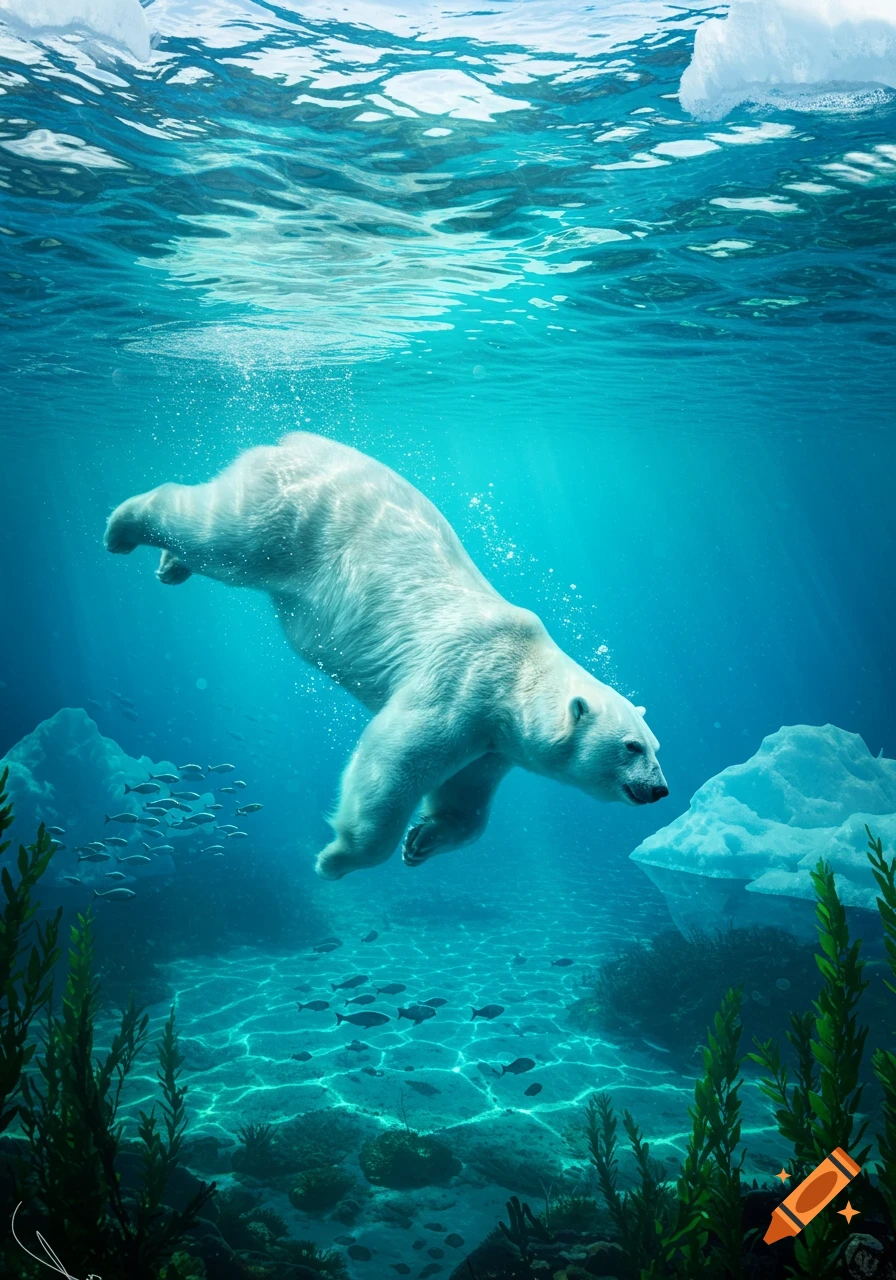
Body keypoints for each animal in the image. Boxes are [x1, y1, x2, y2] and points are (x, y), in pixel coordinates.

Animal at [104, 432, 668, 879]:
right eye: (632, 746)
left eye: (657, 745)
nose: (660, 790)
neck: (520, 672)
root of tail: (289, 441)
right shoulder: (464, 681)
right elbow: (392, 761)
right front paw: (337, 859)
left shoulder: (494, 746)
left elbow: (466, 802)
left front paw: (421, 842)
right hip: (290, 519)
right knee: (220, 535)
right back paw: (123, 526)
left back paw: (170, 565)